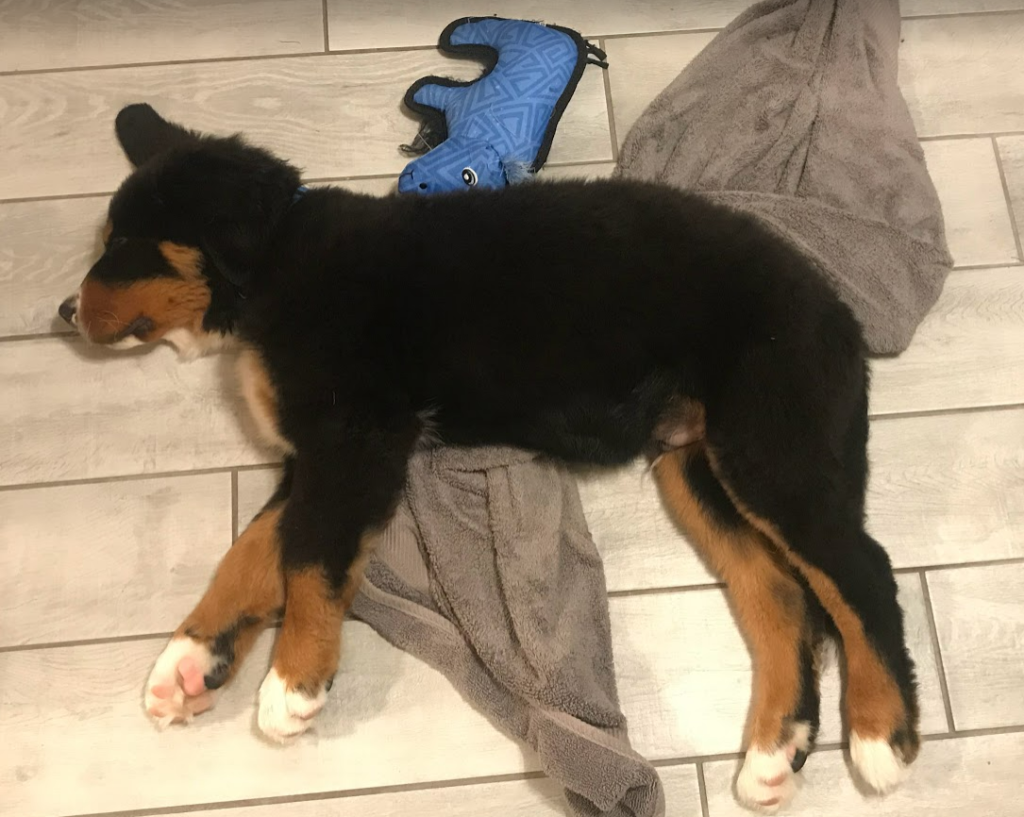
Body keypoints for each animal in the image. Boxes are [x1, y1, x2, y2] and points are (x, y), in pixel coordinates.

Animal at [56, 103, 921, 810]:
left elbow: (308, 558)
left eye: (125, 247)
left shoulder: (354, 437)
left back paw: (880, 734)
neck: (277, 263)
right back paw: (776, 750)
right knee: (779, 589)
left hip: (770, 440)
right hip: (696, 466)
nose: (65, 312)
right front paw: (189, 659)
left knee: (860, 570)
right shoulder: (321, 450)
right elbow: (256, 549)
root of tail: (835, 304)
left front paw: (293, 682)